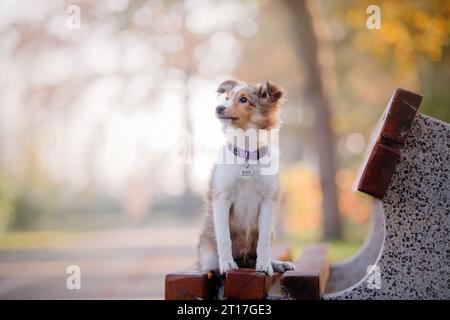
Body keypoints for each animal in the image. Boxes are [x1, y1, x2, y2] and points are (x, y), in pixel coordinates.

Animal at [198, 79, 296, 276]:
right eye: (227, 98)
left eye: (243, 100)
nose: (218, 108)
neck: (247, 154)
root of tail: (243, 259)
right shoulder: (222, 198)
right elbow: (224, 238)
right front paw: (227, 264)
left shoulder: (268, 201)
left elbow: (263, 241)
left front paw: (265, 265)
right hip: (207, 254)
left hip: (271, 228)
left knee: (255, 254)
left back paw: (277, 264)